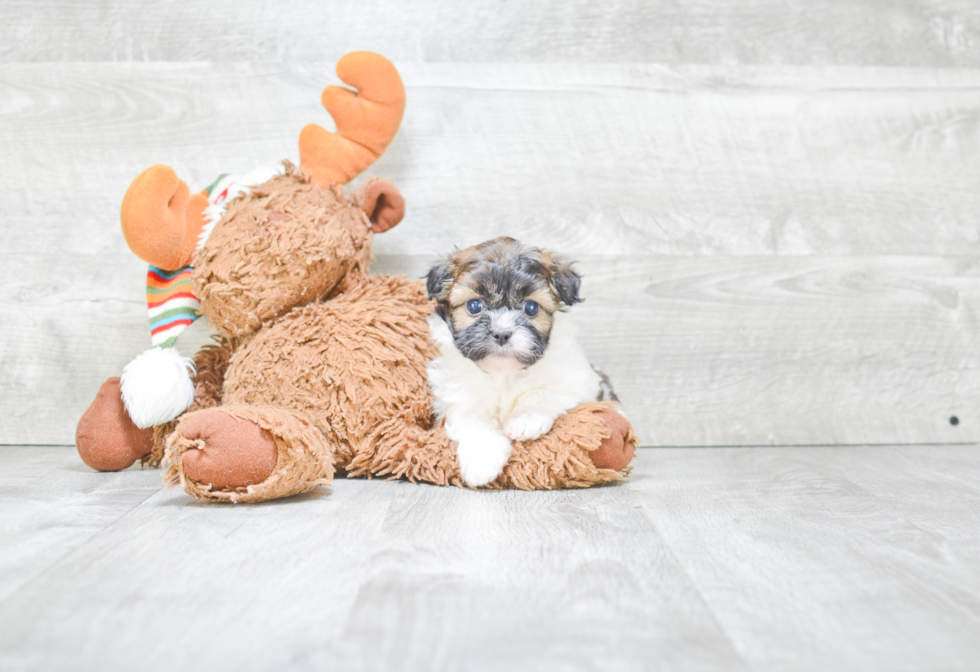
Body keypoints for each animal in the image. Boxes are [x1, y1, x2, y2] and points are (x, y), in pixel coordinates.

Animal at [424, 239, 616, 486]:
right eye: (474, 306)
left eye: (530, 308)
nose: (502, 333)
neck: (504, 373)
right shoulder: (457, 393)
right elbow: (473, 420)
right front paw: (481, 461)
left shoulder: (580, 379)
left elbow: (544, 392)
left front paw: (524, 420)